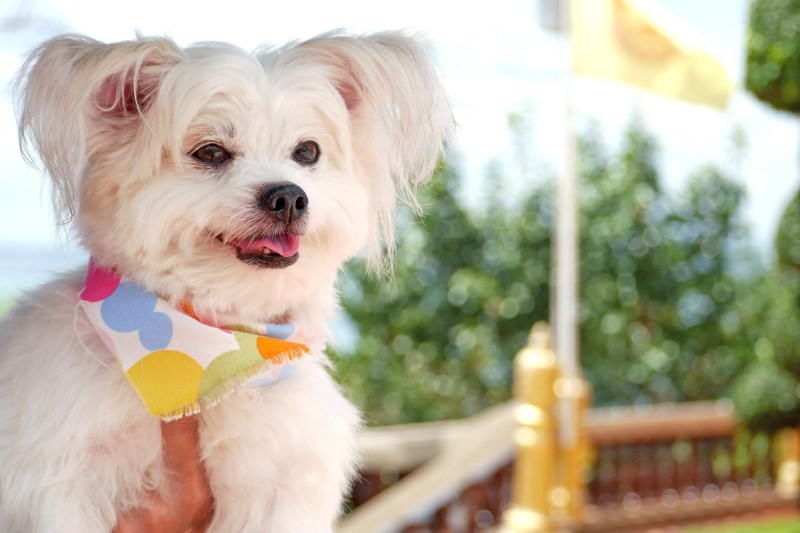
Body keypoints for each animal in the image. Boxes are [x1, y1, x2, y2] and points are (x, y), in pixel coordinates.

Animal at [0, 33, 454, 532]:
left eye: (307, 152)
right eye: (211, 152)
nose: (289, 196)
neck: (215, 352)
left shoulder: (285, 482)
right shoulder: (57, 484)